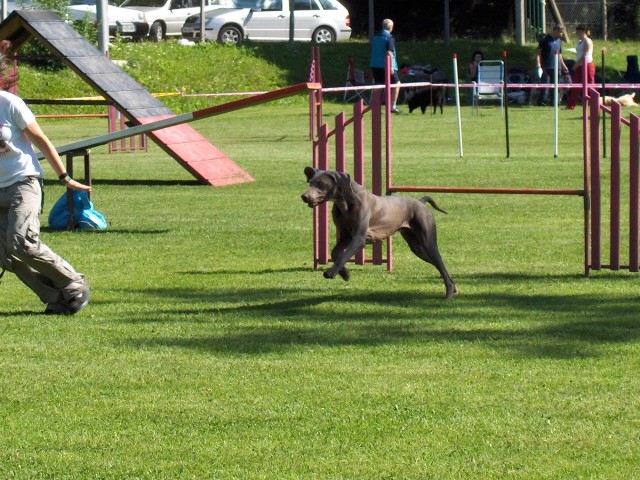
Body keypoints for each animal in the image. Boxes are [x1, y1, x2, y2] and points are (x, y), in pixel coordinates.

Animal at [302, 167, 458, 298]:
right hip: (417, 248)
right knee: (438, 265)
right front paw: (344, 274)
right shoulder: (346, 237)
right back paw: (454, 288)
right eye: (310, 182)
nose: (304, 196)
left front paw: (331, 272)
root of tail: (420, 202)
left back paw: (449, 293)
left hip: (427, 243)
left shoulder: (358, 239)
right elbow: (335, 254)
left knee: (440, 264)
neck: (345, 203)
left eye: (321, 183)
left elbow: (343, 255)